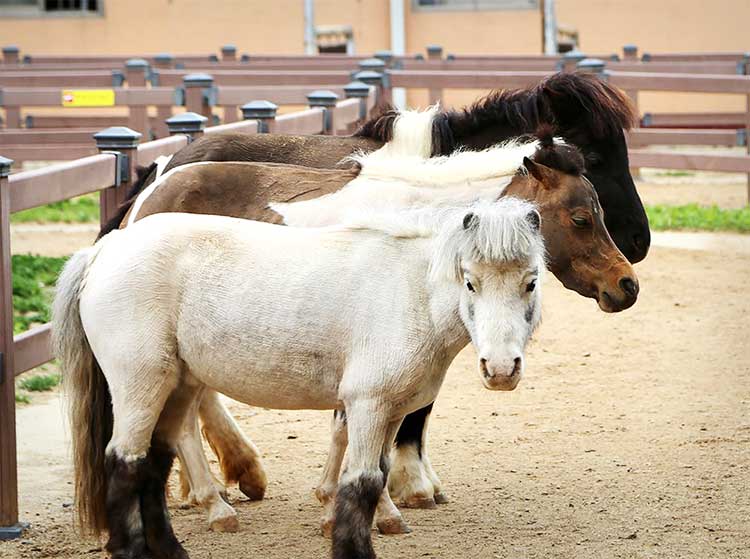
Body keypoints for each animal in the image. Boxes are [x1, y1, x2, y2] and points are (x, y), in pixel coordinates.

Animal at [54, 199, 548, 559]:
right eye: (470, 282)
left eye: (530, 281)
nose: (500, 369)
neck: (410, 291)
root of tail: (104, 250)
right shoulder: (368, 405)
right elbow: (362, 483)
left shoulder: (388, 412)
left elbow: (376, 475)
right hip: (141, 385)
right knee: (125, 462)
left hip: (178, 386)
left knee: (157, 461)